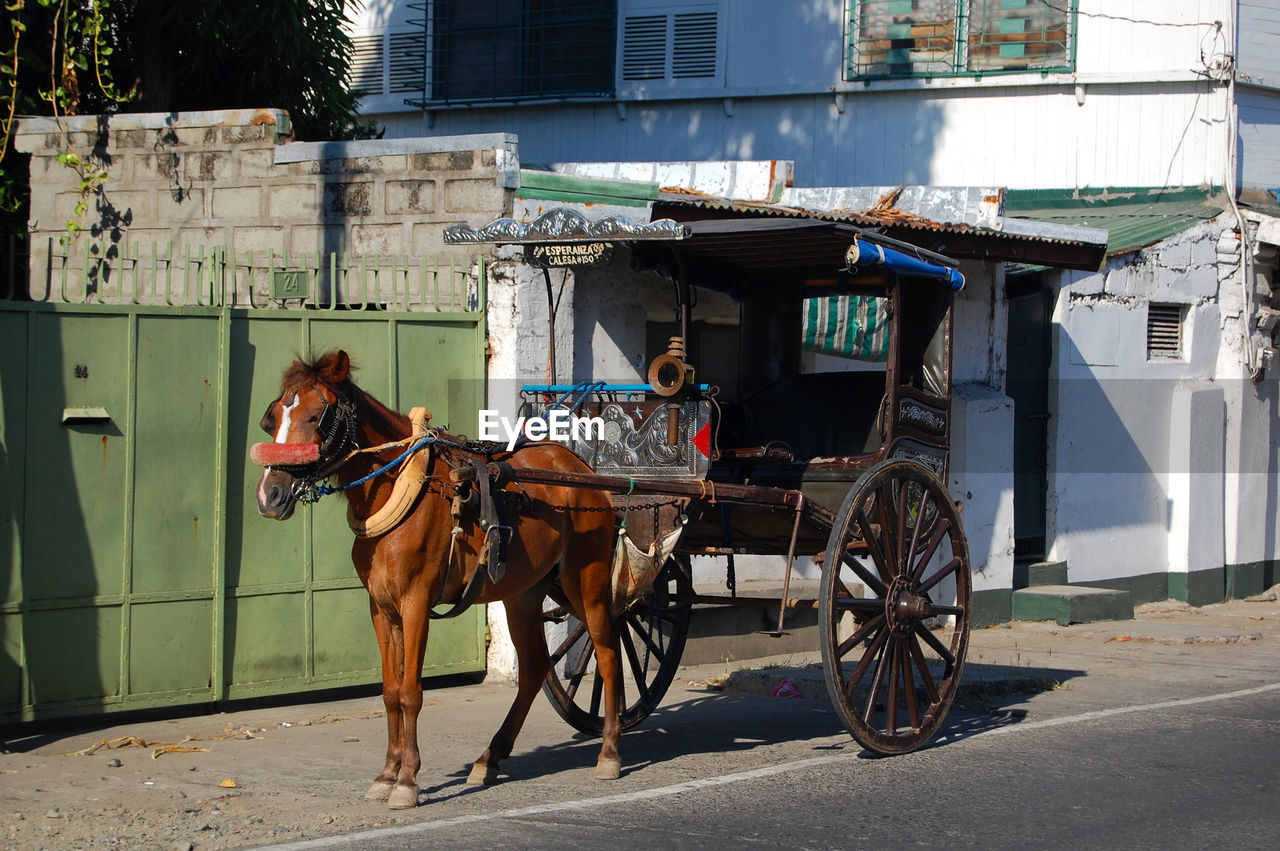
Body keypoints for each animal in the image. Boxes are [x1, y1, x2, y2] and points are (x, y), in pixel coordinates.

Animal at [250, 348, 619, 808]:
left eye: (319, 416)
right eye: (273, 417)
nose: (270, 495)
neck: (396, 491)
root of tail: (580, 471)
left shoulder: (415, 603)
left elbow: (411, 691)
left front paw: (407, 780)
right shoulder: (381, 608)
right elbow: (390, 692)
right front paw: (386, 773)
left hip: (585, 582)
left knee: (608, 653)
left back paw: (609, 752)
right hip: (524, 594)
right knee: (535, 669)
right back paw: (490, 757)